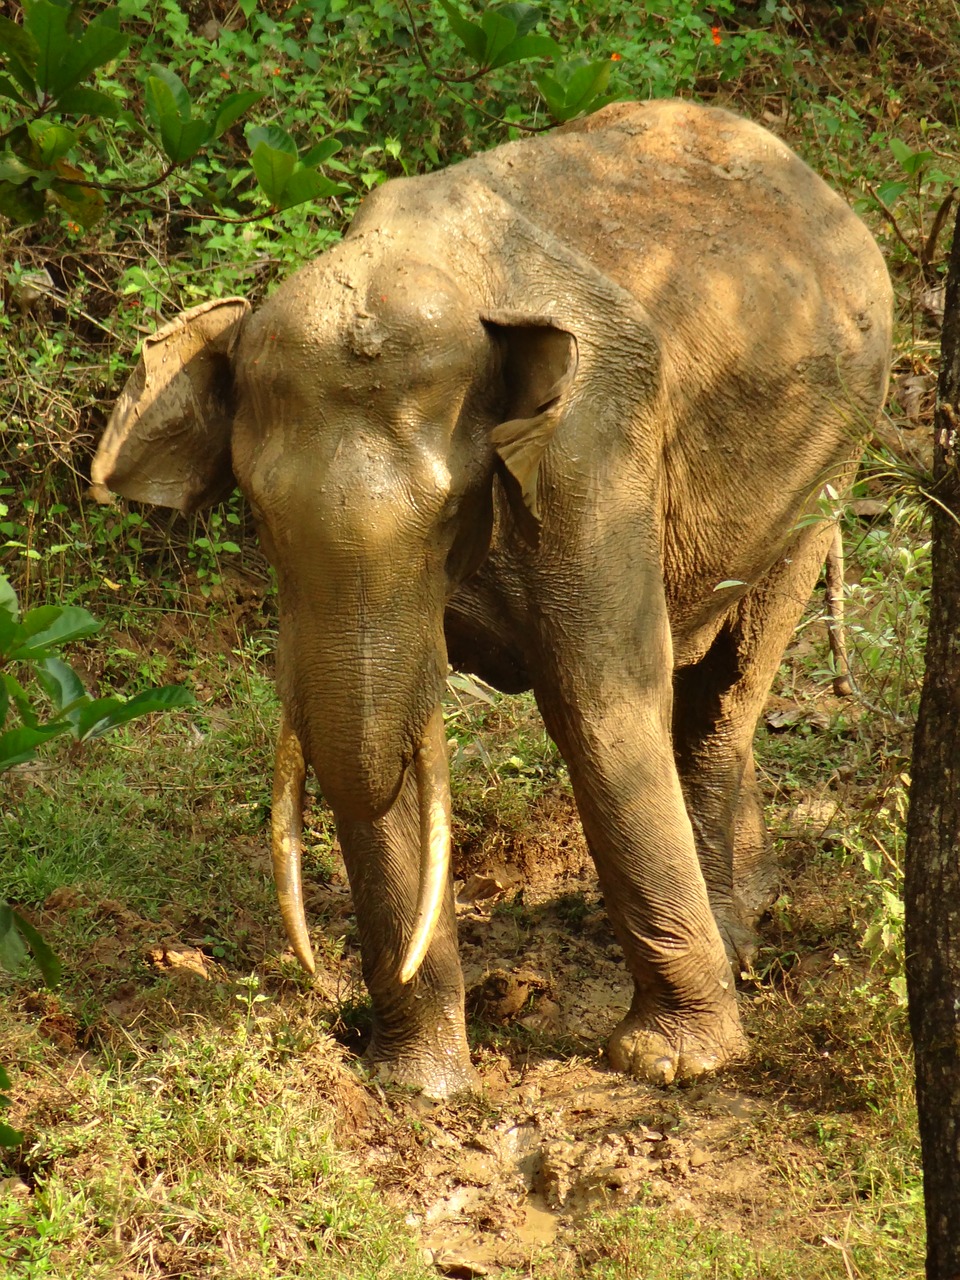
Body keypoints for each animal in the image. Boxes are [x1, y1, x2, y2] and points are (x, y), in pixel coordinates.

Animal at [90, 99, 896, 1100]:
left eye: (451, 510)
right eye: (262, 517)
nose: (321, 980)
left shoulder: (593, 452)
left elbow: (599, 700)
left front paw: (671, 1062)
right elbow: (391, 752)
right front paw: (417, 1086)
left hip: (832, 455)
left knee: (724, 688)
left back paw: (735, 942)